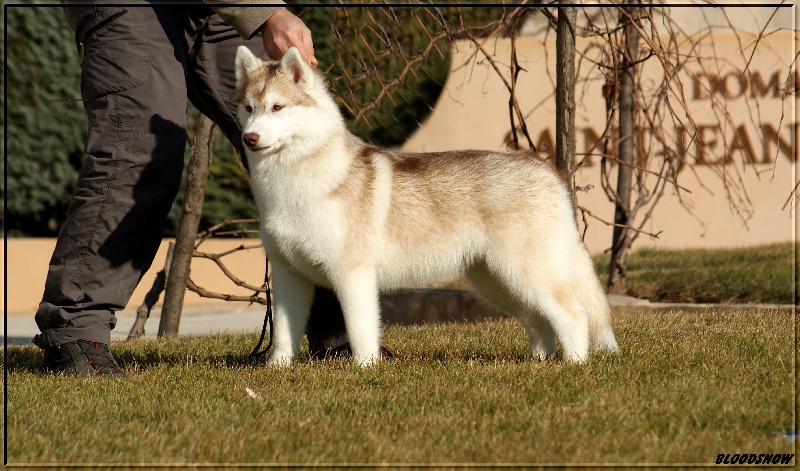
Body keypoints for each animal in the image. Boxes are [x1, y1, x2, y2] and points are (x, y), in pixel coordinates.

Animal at [233, 46, 619, 366]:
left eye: (278, 107)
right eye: (249, 108)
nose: (249, 138)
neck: (293, 184)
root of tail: (545, 169)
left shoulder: (352, 274)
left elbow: (360, 332)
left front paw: (365, 370)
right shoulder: (288, 276)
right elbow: (283, 335)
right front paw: (277, 369)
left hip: (524, 272)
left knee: (574, 315)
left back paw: (574, 364)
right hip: (497, 281)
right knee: (539, 321)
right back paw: (537, 362)